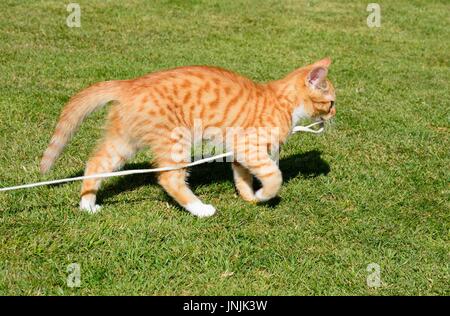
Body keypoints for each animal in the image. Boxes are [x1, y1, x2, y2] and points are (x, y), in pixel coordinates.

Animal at [40, 57, 336, 217]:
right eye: (331, 102)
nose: (335, 114)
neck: (284, 102)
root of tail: (131, 83)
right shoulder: (248, 146)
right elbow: (274, 175)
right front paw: (265, 194)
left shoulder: (239, 153)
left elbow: (244, 178)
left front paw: (251, 197)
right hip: (176, 140)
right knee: (169, 178)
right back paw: (200, 209)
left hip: (123, 141)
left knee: (96, 163)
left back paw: (87, 203)